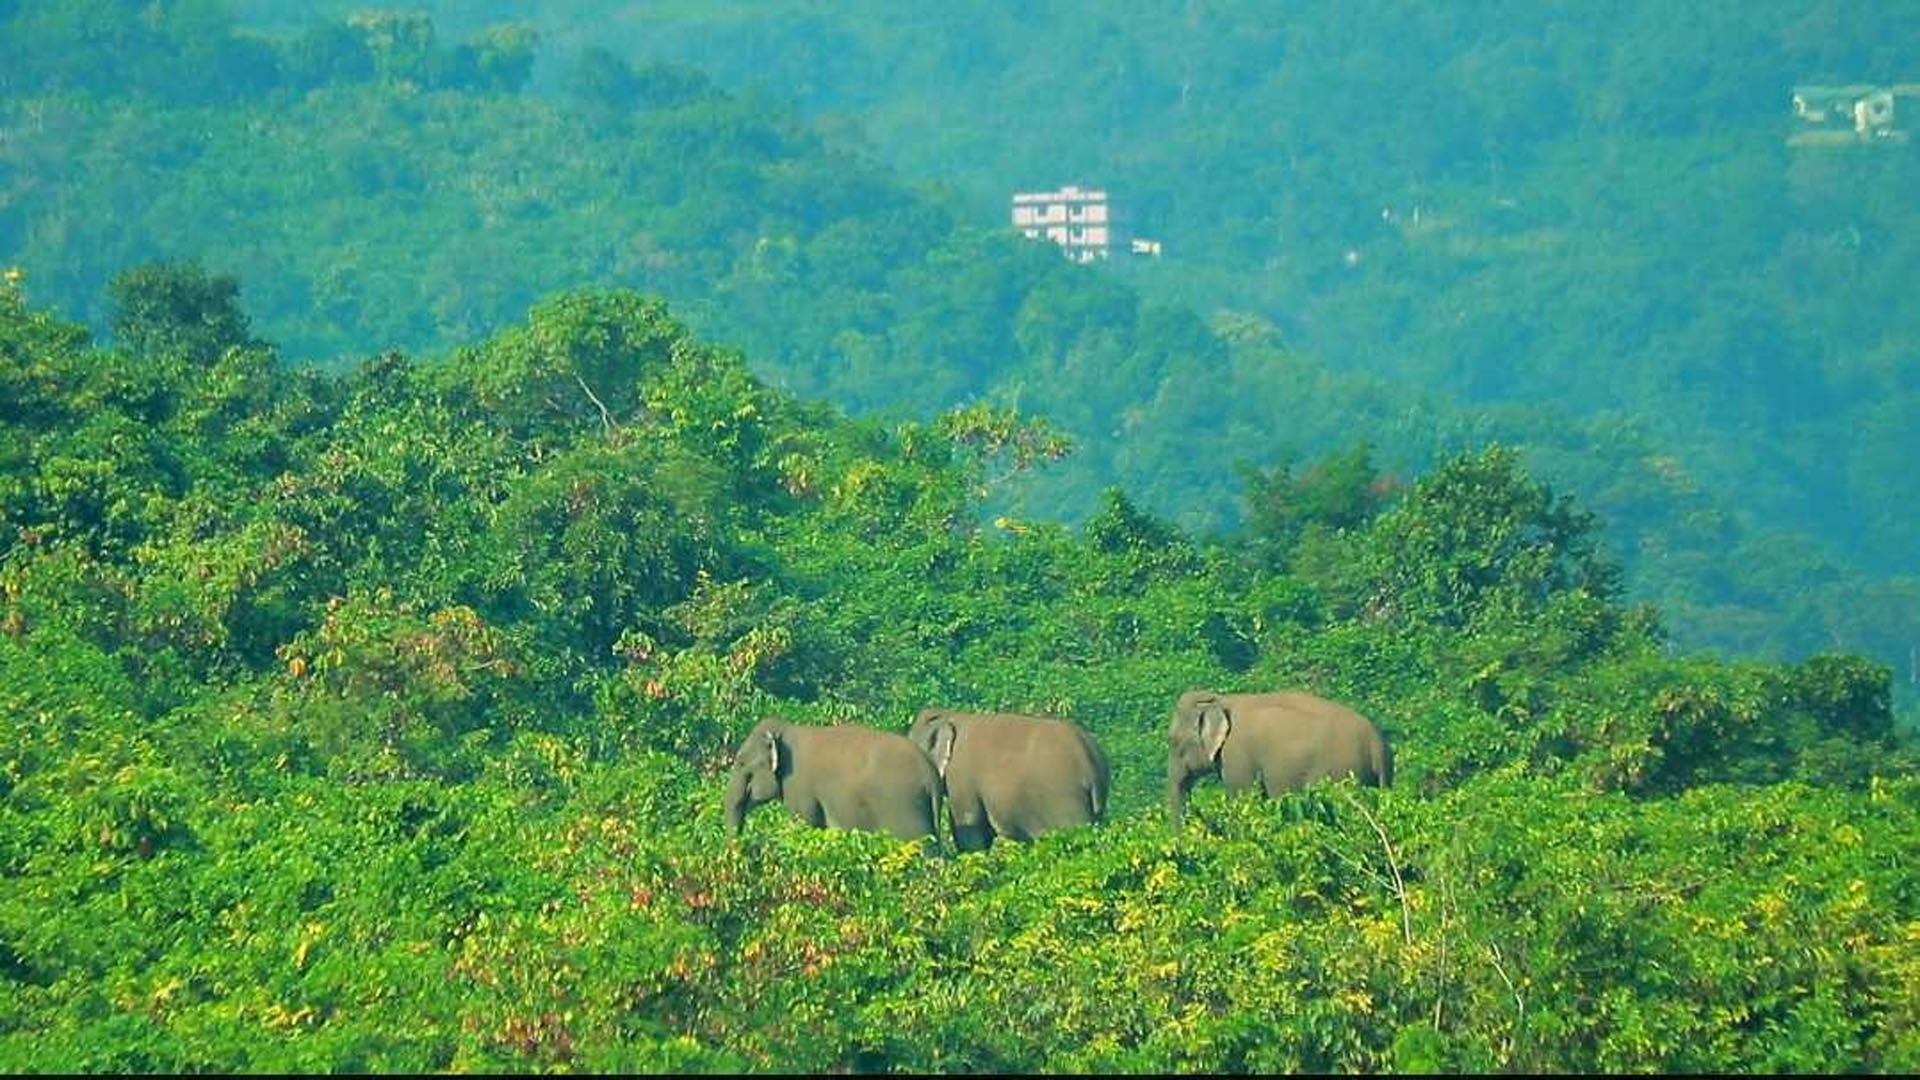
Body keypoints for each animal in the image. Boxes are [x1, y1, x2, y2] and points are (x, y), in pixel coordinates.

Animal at [721, 714, 940, 841]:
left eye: (740, 763)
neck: (787, 730)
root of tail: (930, 771)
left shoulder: (799, 787)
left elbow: (806, 824)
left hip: (904, 807)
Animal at [1159, 687, 1390, 822]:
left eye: (1172, 741)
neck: (1221, 700)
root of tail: (1376, 743)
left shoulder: (1236, 756)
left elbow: (1243, 799)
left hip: (1340, 774)